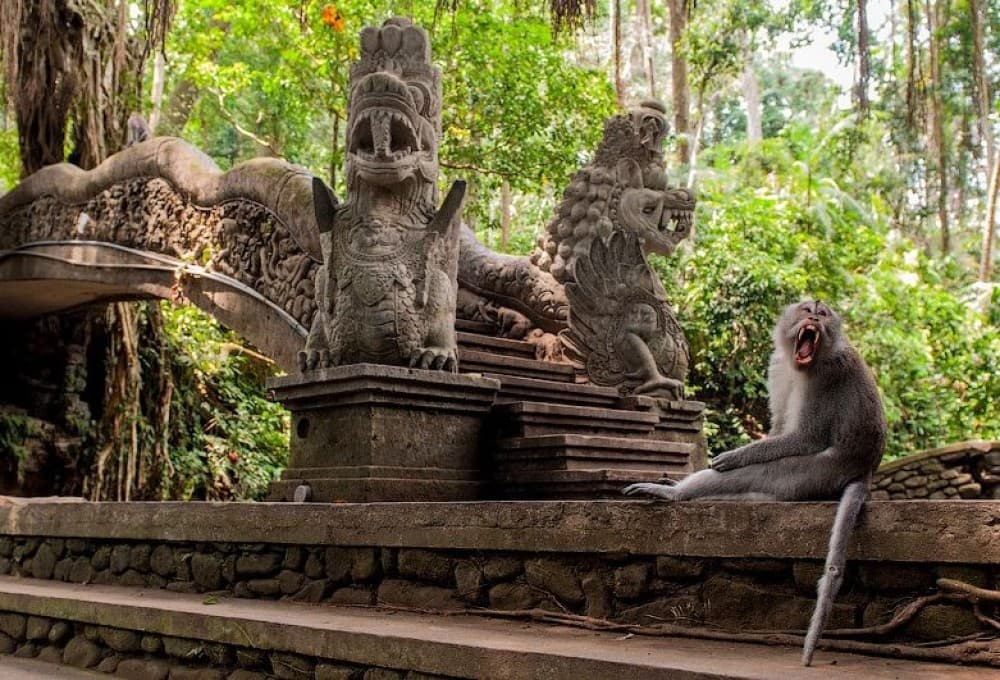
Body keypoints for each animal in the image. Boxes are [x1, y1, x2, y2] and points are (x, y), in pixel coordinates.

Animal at [623, 300, 886, 666]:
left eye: (823, 313)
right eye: (808, 308)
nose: (814, 316)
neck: (801, 363)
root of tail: (866, 470)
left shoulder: (828, 374)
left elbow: (806, 437)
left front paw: (735, 455)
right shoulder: (777, 367)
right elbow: (780, 427)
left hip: (822, 470)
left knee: (760, 474)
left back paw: (675, 494)